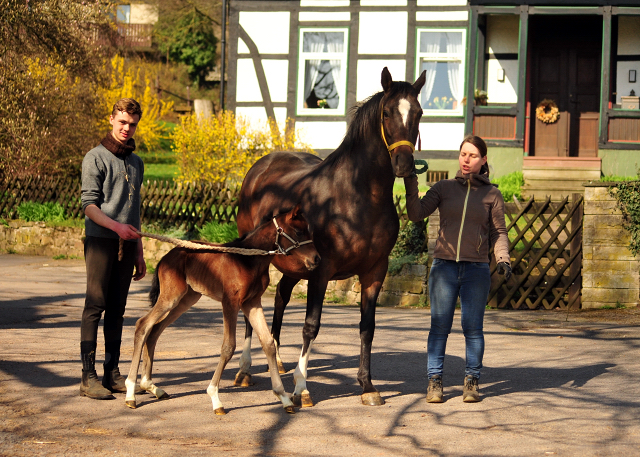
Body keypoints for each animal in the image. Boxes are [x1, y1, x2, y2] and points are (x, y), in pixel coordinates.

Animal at [123, 207, 320, 414]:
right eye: (298, 231)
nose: (317, 259)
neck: (247, 260)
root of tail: (165, 258)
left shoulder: (252, 302)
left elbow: (268, 343)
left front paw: (284, 398)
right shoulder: (230, 302)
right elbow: (228, 346)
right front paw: (215, 398)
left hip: (186, 298)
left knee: (155, 330)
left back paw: (151, 386)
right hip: (171, 296)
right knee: (143, 324)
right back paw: (131, 393)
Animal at [235, 67, 424, 406]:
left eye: (418, 113)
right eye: (387, 112)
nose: (403, 164)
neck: (356, 197)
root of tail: (260, 168)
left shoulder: (374, 273)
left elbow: (367, 327)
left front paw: (367, 386)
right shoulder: (321, 271)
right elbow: (311, 326)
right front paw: (301, 388)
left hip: (293, 265)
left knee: (281, 295)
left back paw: (277, 360)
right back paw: (244, 370)